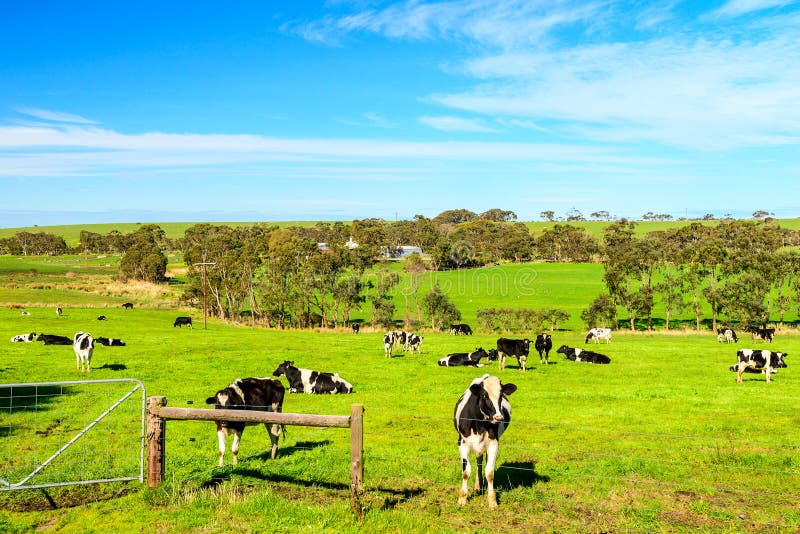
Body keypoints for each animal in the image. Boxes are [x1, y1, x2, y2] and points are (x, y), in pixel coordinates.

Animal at [454, 374, 516, 512]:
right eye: (484, 395)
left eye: (501, 395)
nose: (498, 418)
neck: (480, 424)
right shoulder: (463, 443)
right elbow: (466, 471)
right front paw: (462, 499)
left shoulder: (494, 443)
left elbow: (490, 472)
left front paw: (492, 501)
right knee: (478, 461)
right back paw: (478, 485)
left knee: (482, 460)